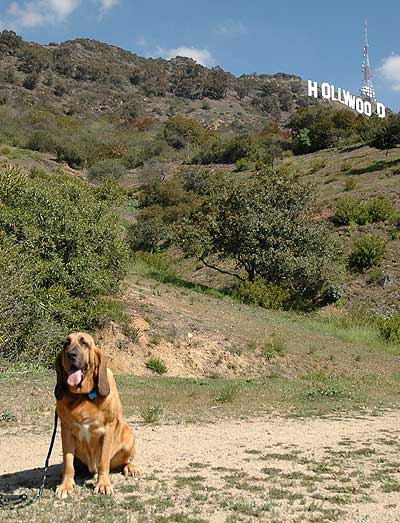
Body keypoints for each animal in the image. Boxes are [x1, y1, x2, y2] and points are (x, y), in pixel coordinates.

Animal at [54, 334, 138, 498]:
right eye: (67, 343)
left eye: (84, 343)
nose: (71, 354)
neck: (83, 396)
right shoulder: (66, 431)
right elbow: (68, 464)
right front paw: (66, 486)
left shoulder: (108, 430)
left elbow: (103, 462)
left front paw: (103, 484)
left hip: (129, 441)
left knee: (126, 461)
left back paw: (131, 468)